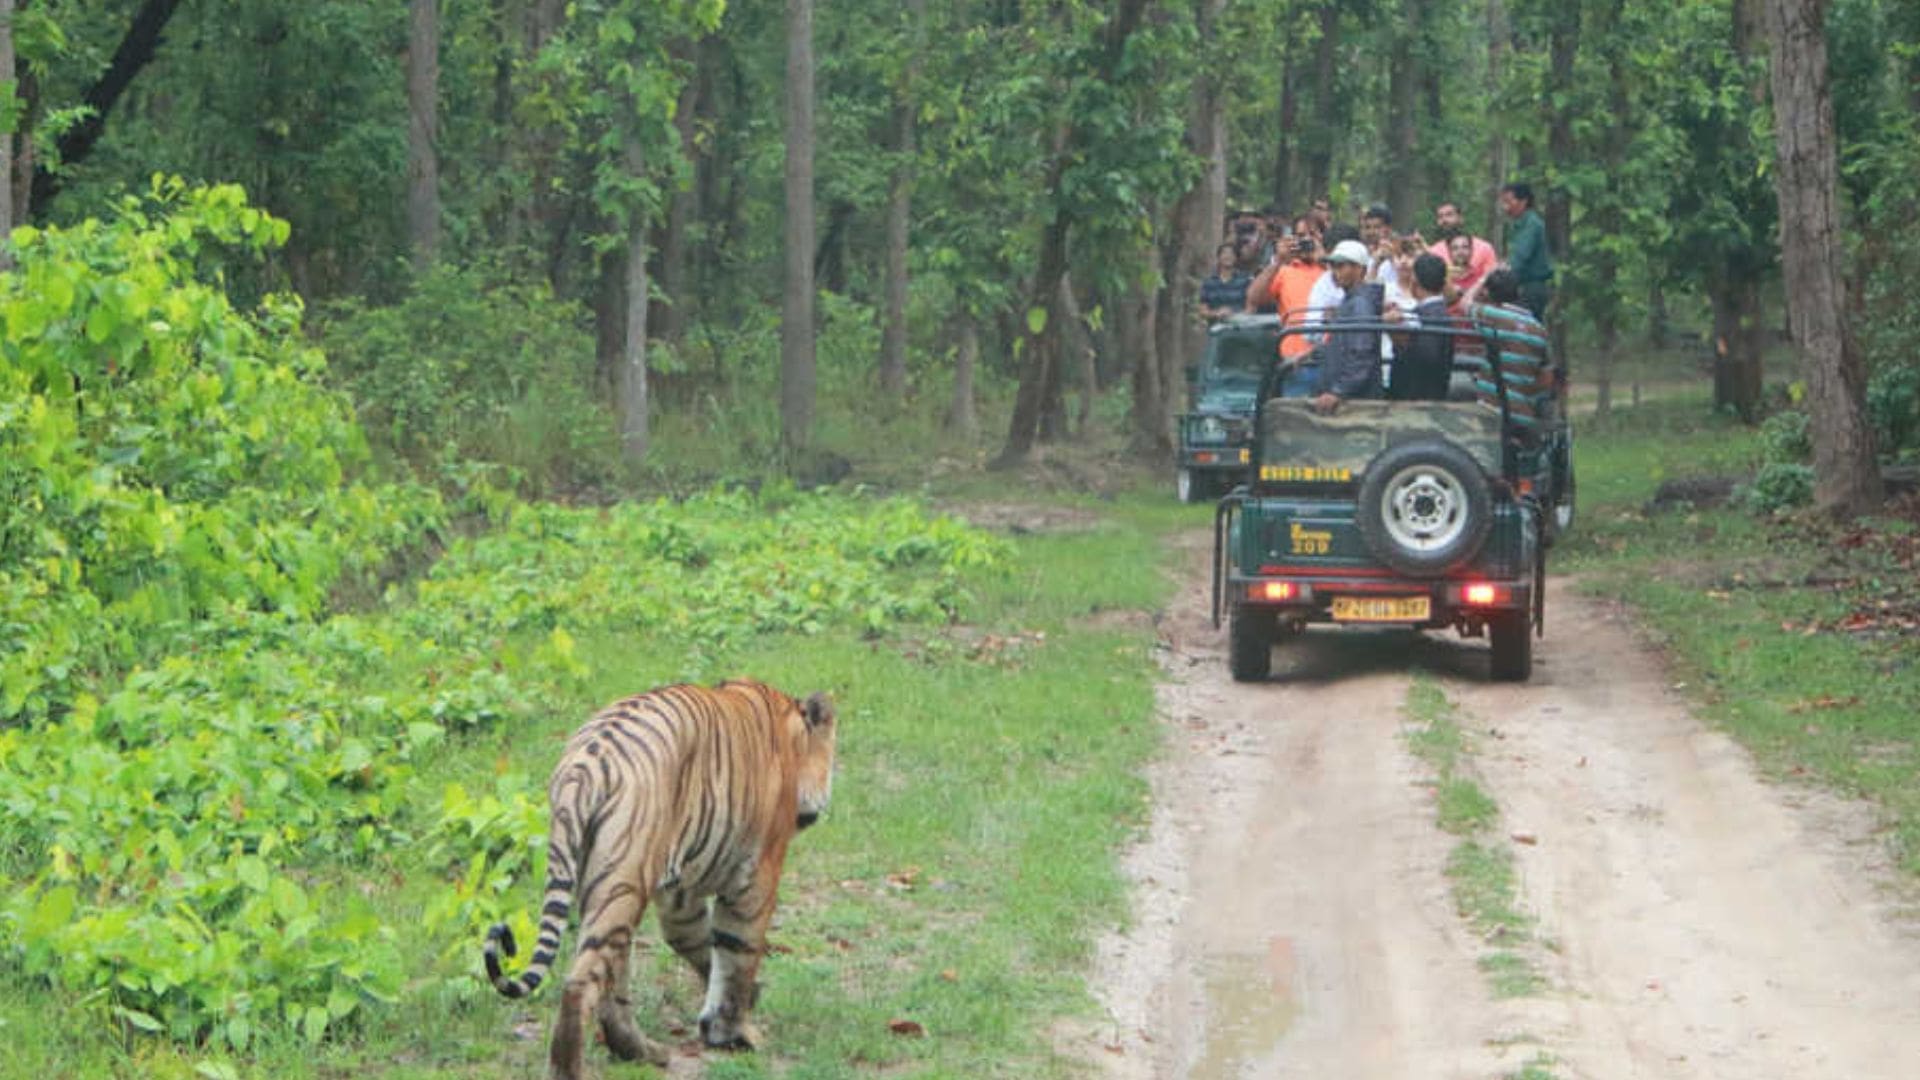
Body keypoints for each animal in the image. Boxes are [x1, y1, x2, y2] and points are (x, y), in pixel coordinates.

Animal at [478, 676, 833, 1068]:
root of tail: (585, 762)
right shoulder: (757, 874)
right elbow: (737, 952)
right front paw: (735, 1033)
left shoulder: (680, 892)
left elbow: (697, 940)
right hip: (624, 880)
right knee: (579, 985)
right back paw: (574, 1067)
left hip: (603, 883)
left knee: (611, 981)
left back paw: (641, 1051)